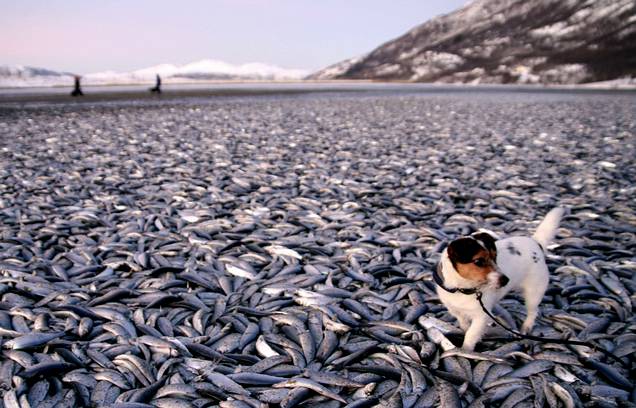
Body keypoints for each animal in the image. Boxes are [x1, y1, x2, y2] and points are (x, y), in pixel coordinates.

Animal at [434, 209, 564, 350]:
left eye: (495, 257)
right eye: (478, 261)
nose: (506, 280)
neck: (462, 288)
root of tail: (536, 243)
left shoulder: (481, 317)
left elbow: (471, 335)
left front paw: (465, 351)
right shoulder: (456, 311)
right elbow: (464, 325)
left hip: (534, 292)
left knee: (533, 311)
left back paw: (526, 328)